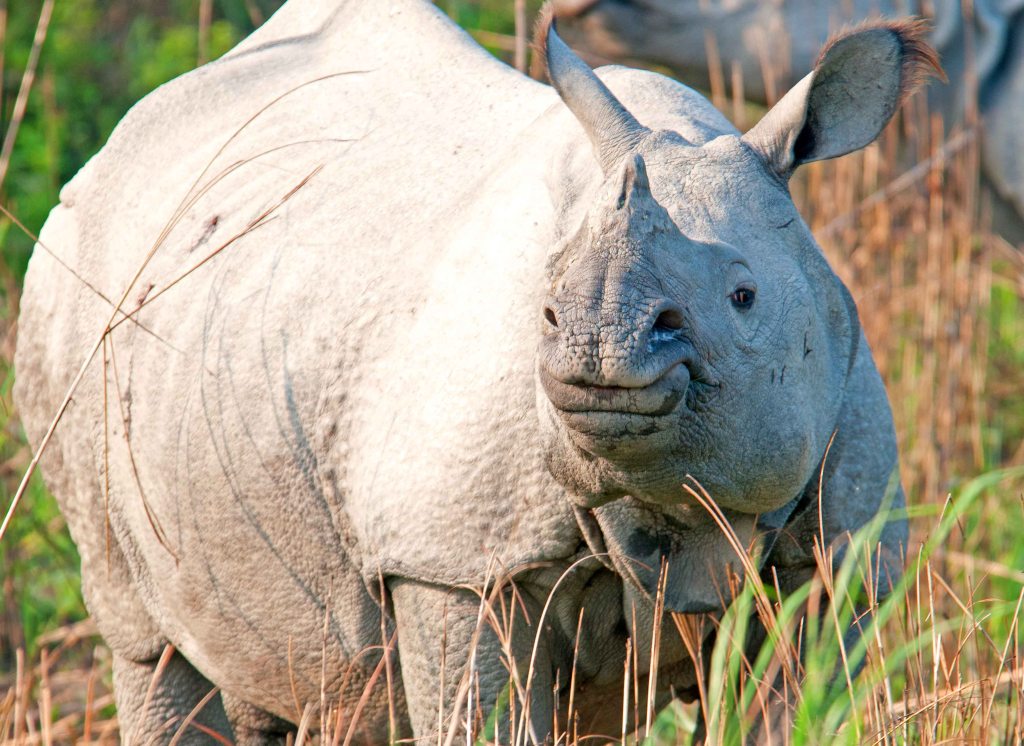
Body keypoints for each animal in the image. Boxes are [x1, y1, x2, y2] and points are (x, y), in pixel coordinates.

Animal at [14, 0, 930, 742]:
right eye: (548, 305)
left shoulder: (844, 558)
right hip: (69, 297)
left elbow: (794, 707)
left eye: (744, 296)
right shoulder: (455, 559)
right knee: (147, 643)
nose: (599, 353)